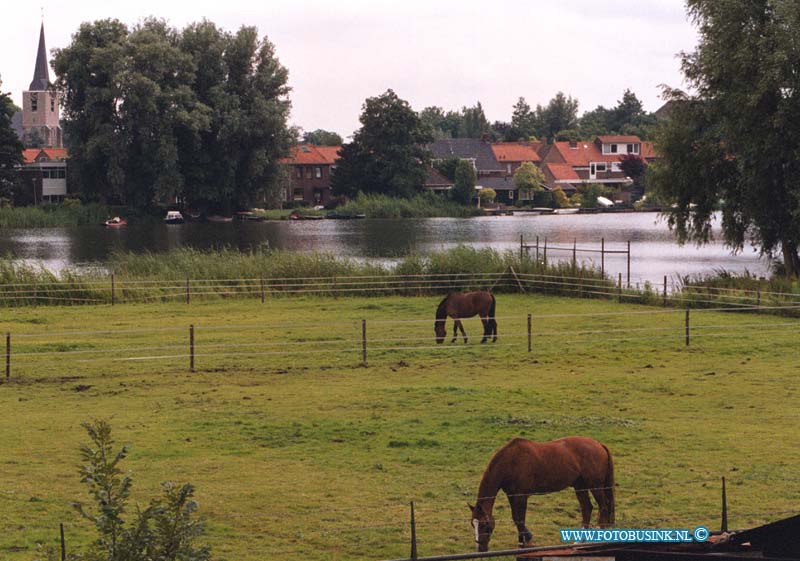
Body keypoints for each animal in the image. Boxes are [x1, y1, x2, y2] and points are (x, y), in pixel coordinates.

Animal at [468, 436, 612, 548]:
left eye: (484, 525)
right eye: (473, 525)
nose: (480, 548)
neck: (512, 461)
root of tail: (599, 444)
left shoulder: (521, 496)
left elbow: (520, 519)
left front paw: (527, 540)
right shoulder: (512, 495)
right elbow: (516, 518)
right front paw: (522, 542)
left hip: (595, 486)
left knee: (603, 506)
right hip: (580, 486)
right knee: (587, 508)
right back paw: (580, 541)